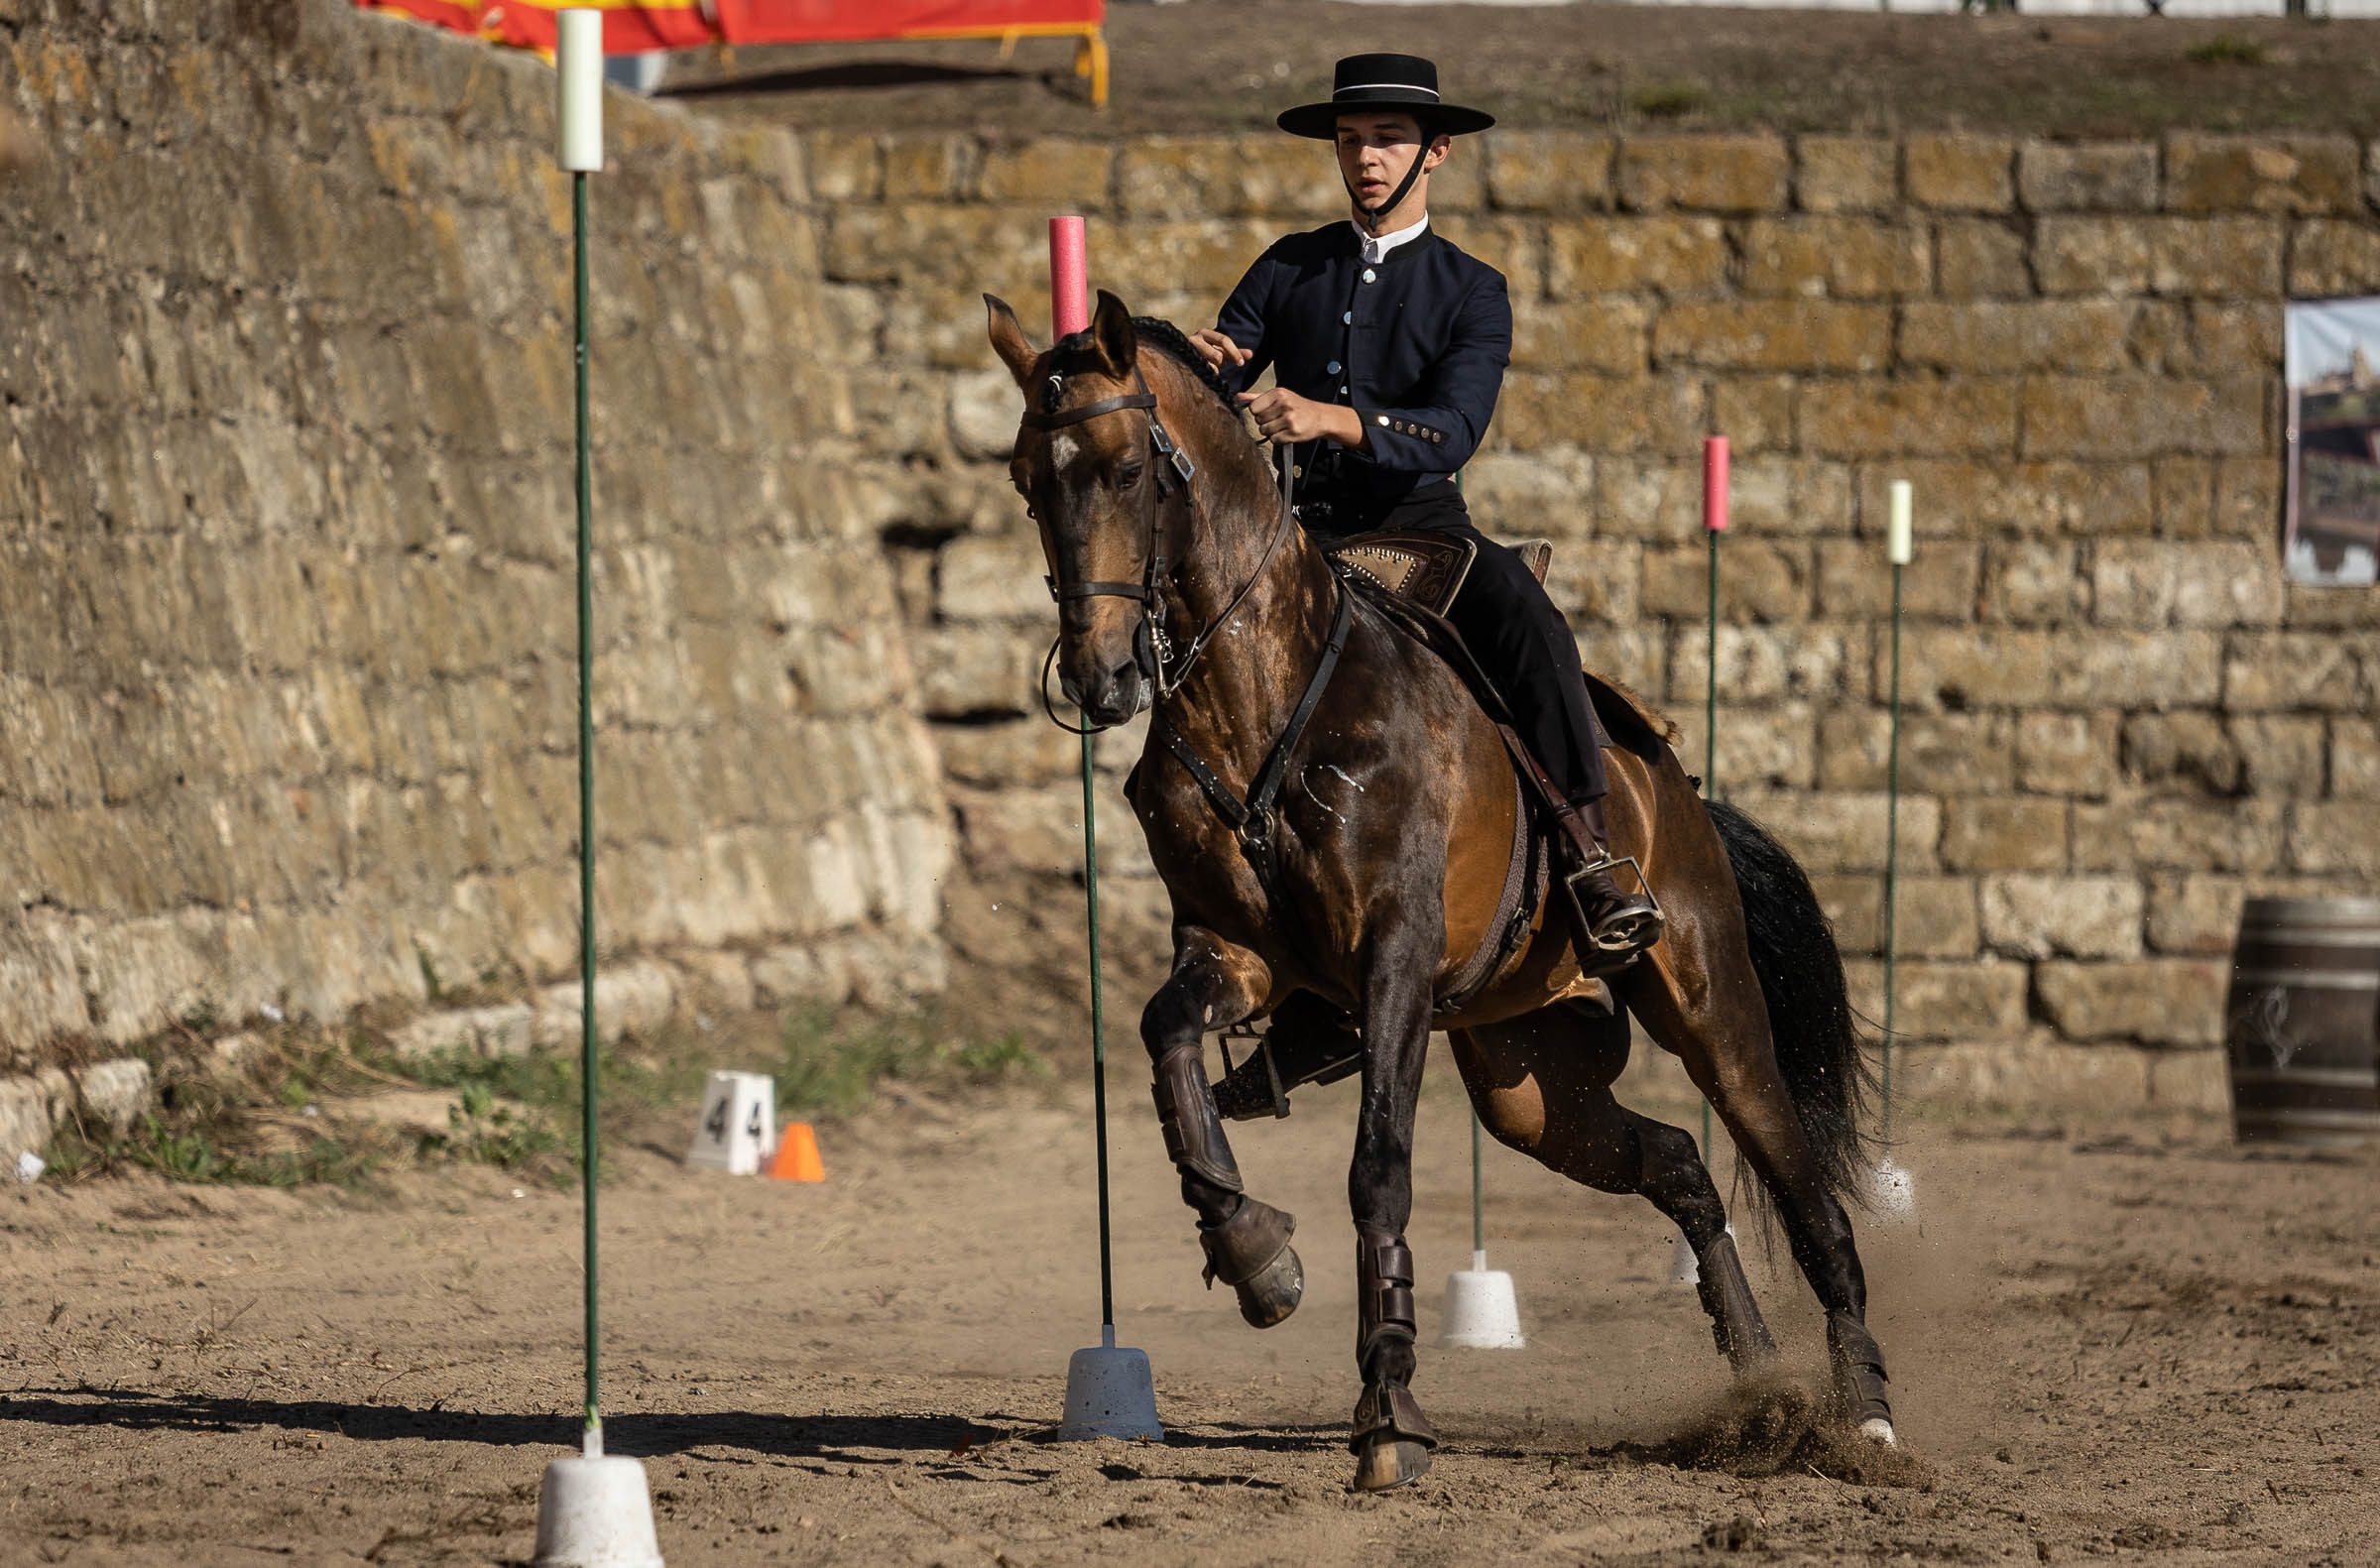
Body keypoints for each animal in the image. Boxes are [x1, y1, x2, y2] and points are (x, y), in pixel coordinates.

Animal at [985, 288, 1894, 1494]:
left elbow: (1380, 1170)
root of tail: (1669, 780)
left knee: (1795, 1179)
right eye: (1026, 478)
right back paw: (1755, 1383)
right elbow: (1169, 1046)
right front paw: (1253, 1250)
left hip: (1707, 1007)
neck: (1263, 687)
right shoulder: (1236, 956)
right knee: (1681, 1163)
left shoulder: (1395, 964)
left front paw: (1391, 1412)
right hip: (1529, 1084)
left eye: (1129, 468)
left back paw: (1865, 1412)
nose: (1100, 677)